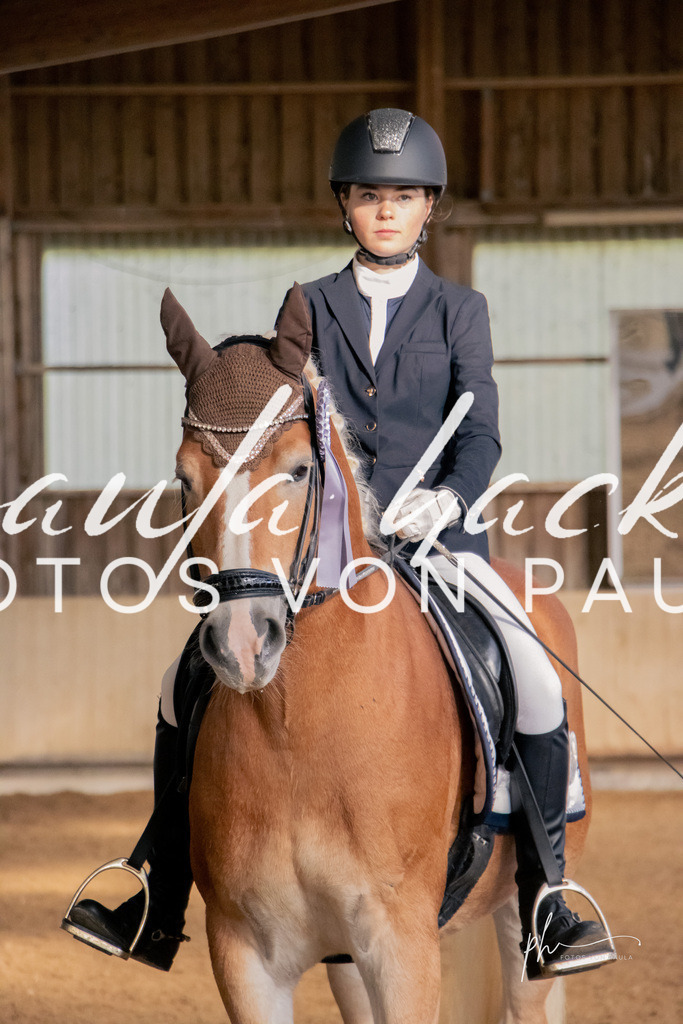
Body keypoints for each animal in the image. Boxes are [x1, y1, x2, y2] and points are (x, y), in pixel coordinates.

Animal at [160, 284, 592, 1024]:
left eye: (298, 470)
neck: (296, 727)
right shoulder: (244, 953)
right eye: (185, 480)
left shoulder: (401, 948)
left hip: (521, 917)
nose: (241, 643)